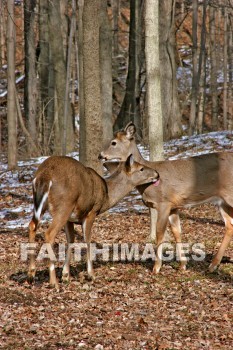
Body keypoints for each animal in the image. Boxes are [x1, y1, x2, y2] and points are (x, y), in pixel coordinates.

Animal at [26, 154, 158, 288]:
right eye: (141, 168)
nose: (157, 174)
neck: (106, 196)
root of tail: (45, 175)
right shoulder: (91, 212)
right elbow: (87, 240)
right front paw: (91, 275)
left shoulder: (70, 219)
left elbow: (71, 240)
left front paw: (65, 275)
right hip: (64, 205)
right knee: (49, 233)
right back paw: (53, 282)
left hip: (42, 205)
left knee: (32, 225)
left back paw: (31, 275)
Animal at [99, 121, 233, 274]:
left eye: (113, 142)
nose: (100, 155)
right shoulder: (174, 205)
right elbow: (177, 231)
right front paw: (182, 265)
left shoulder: (163, 202)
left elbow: (160, 233)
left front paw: (156, 268)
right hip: (222, 201)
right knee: (229, 226)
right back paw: (212, 265)